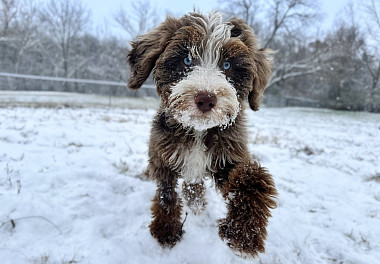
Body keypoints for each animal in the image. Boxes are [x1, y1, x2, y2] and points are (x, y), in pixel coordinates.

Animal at [126, 10, 278, 258]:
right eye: (187, 59)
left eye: (227, 64)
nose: (206, 98)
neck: (199, 131)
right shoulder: (162, 156)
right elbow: (166, 194)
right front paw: (166, 230)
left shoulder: (228, 154)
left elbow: (252, 178)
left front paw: (243, 234)